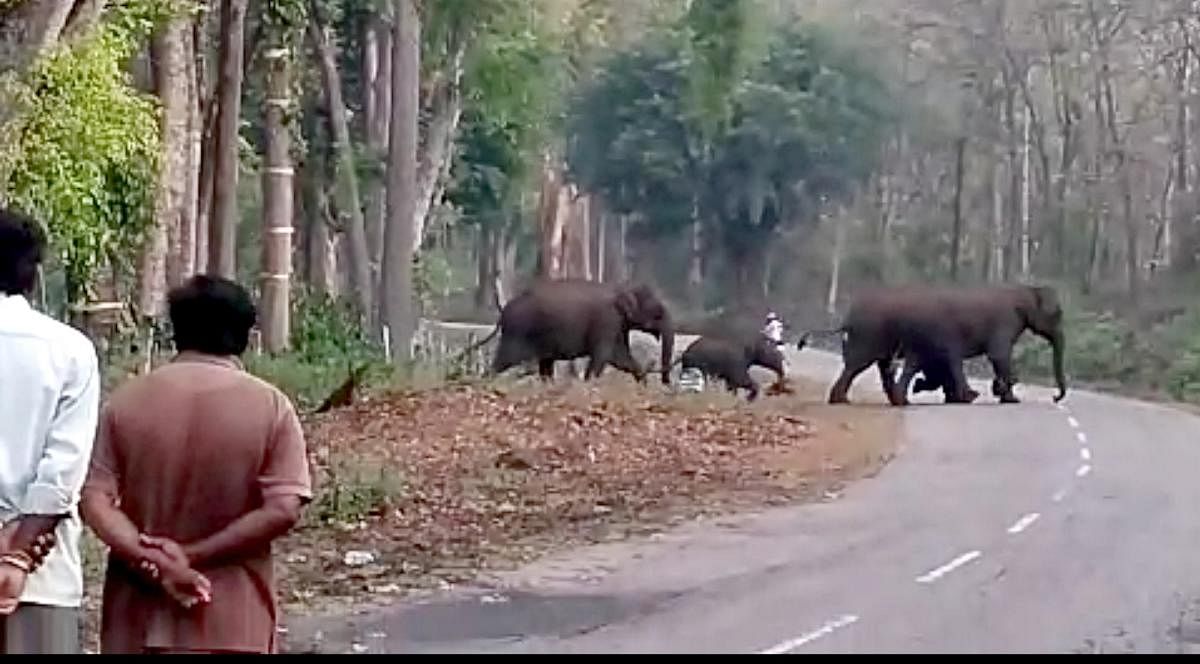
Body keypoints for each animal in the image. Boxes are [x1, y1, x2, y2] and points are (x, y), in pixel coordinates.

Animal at [477, 278, 672, 384]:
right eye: (658, 313)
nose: (666, 383)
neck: (621, 287)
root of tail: (503, 312)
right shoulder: (607, 321)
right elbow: (603, 356)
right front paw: (589, 383)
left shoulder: (619, 325)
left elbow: (621, 358)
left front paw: (643, 385)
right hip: (517, 334)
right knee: (503, 361)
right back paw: (486, 380)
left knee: (545, 365)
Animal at [825, 280, 1070, 403]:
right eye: (1058, 314)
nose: (1055, 397)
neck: (1027, 289)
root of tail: (847, 317)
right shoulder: (1004, 322)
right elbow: (999, 355)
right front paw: (1010, 398)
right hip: (869, 334)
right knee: (858, 365)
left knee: (884, 365)